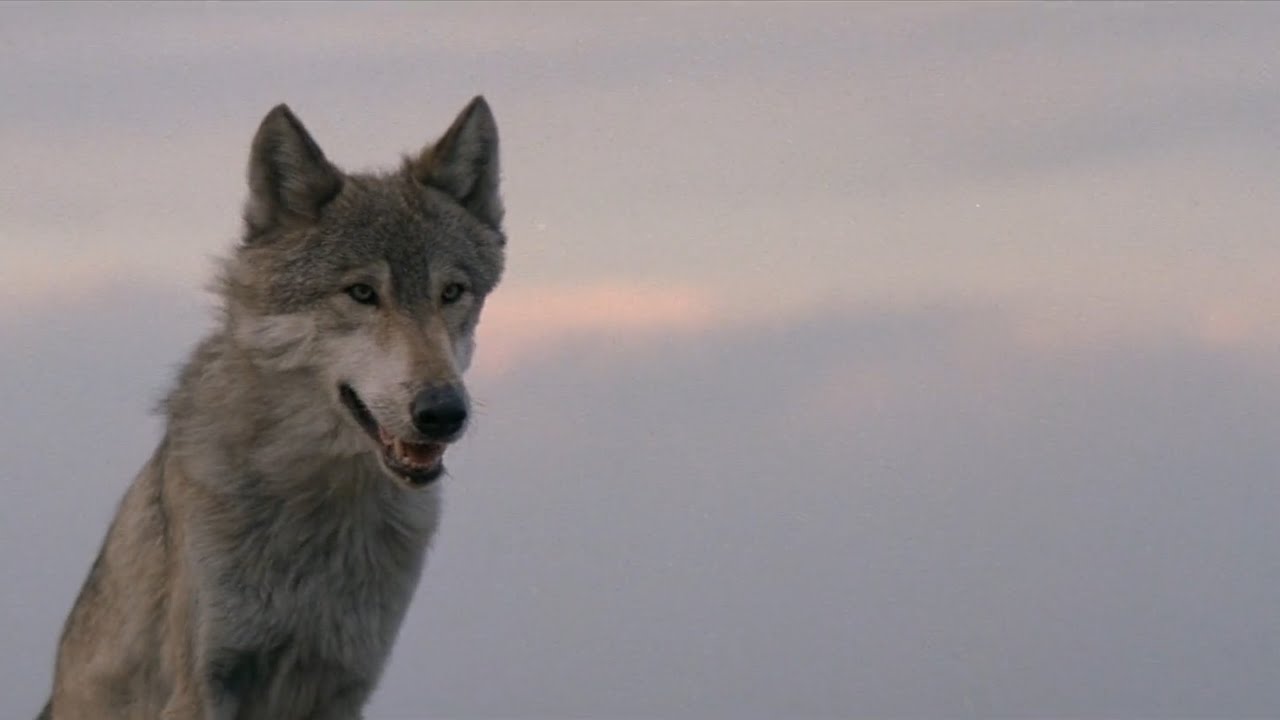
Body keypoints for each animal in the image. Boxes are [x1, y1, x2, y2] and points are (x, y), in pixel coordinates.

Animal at [37, 96, 506, 720]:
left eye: (452, 292)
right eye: (361, 293)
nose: (444, 411)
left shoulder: (343, 687)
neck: (322, 509)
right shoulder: (204, 685)